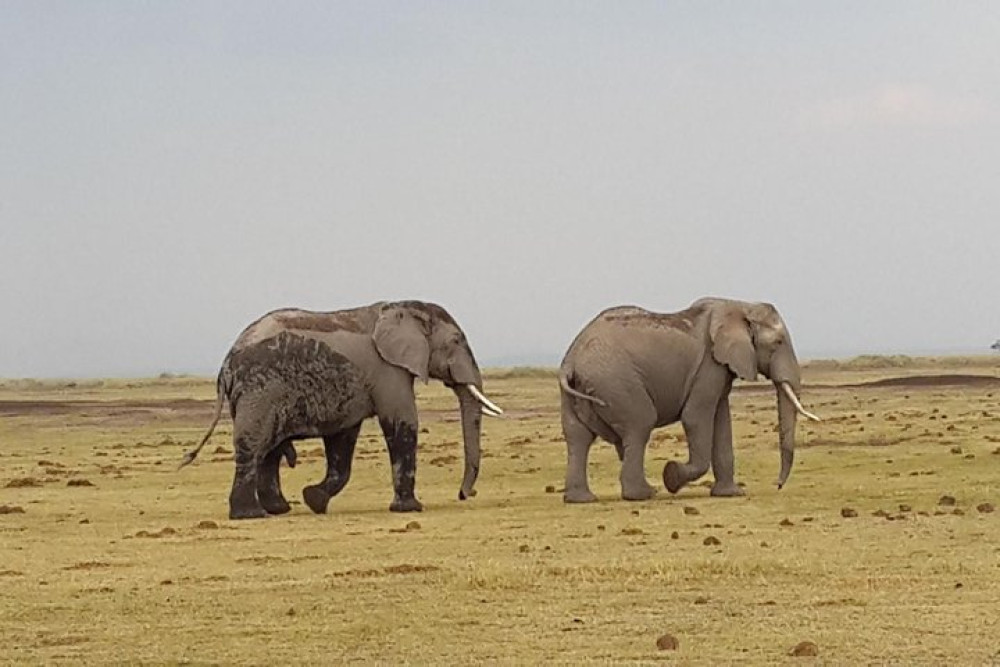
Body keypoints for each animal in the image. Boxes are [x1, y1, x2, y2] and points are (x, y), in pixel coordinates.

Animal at [179, 300, 503, 519]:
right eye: (456, 341)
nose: (465, 494)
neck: (403, 306)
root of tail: (226, 363)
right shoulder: (387, 371)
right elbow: (402, 424)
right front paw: (411, 509)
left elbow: (342, 442)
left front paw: (314, 500)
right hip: (260, 390)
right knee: (252, 446)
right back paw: (250, 515)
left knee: (267, 450)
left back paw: (278, 510)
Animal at [558, 297, 820, 503]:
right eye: (778, 343)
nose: (777, 484)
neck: (738, 305)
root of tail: (571, 359)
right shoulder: (708, 366)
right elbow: (695, 418)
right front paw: (671, 476)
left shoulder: (719, 369)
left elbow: (722, 422)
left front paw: (731, 494)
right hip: (617, 383)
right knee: (639, 426)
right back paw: (644, 495)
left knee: (578, 437)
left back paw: (581, 499)